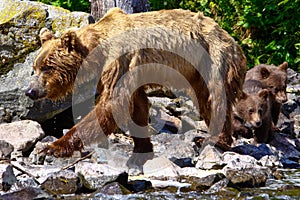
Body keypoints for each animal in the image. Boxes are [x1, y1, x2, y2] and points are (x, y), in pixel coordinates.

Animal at [25, 7, 246, 166]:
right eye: (35, 67)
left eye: (47, 67)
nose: (30, 91)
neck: (96, 54)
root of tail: (230, 38)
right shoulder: (126, 72)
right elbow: (137, 105)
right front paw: (141, 151)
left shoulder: (119, 61)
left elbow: (112, 103)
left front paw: (51, 147)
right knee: (205, 100)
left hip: (213, 59)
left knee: (214, 98)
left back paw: (213, 140)